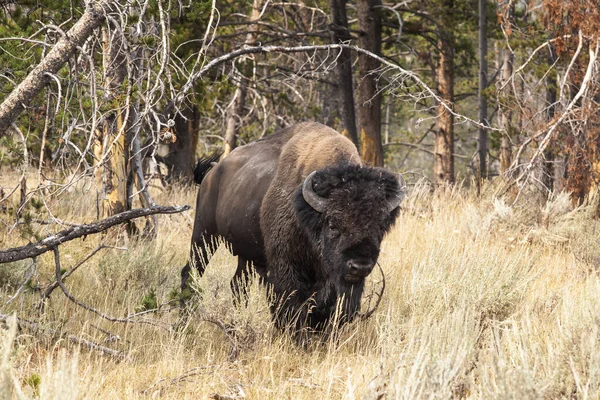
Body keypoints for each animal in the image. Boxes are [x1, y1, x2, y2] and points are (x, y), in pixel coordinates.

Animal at [182, 122, 408, 332]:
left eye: (380, 228)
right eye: (332, 224)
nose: (359, 266)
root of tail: (213, 172)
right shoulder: (285, 268)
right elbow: (291, 306)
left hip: (245, 254)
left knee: (238, 284)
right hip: (204, 234)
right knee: (191, 272)